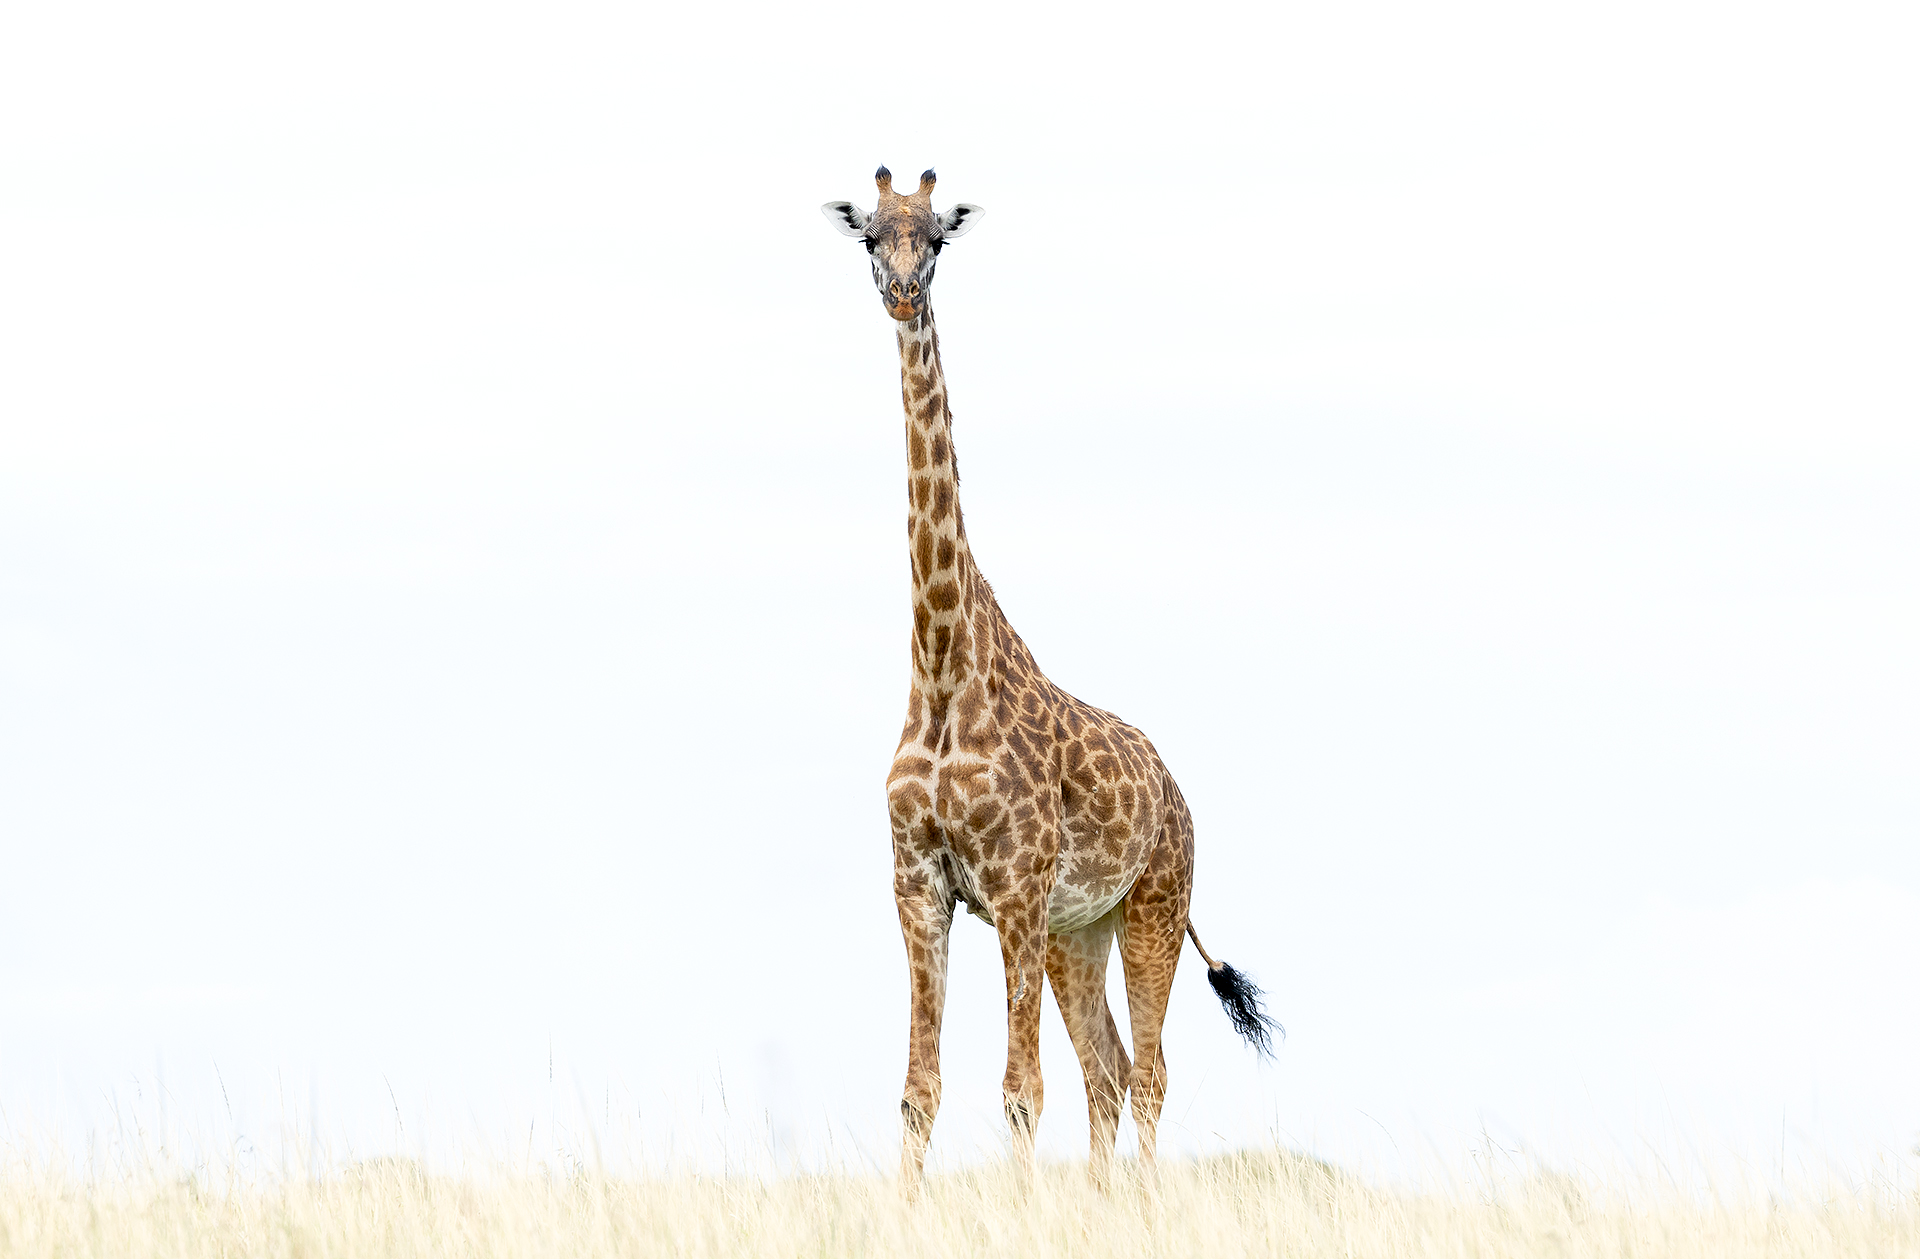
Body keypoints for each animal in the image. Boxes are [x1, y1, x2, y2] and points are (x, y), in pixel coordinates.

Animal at [822, 167, 1280, 1193]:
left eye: (936, 239)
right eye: (870, 236)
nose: (901, 293)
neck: (942, 671)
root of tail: (1177, 791)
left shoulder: (1016, 887)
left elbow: (1019, 1090)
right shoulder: (920, 884)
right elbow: (920, 1089)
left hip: (1153, 904)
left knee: (1146, 1070)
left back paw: (1139, 1204)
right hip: (1082, 928)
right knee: (1107, 1068)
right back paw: (1106, 1200)